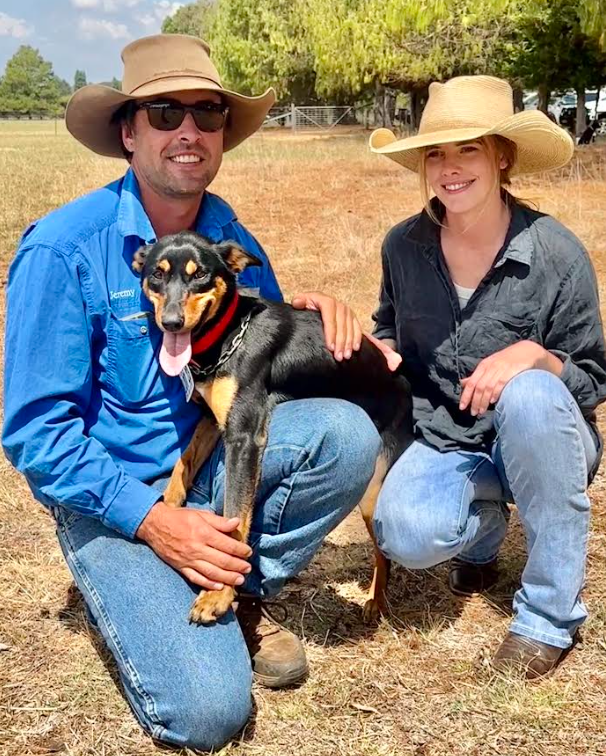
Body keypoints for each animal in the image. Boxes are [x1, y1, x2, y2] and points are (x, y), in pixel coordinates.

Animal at [134, 233, 416, 624]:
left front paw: (218, 596)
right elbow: (183, 463)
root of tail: (403, 381)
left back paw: (377, 599)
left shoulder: (244, 439)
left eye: (200, 274)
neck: (230, 334)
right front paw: (170, 507)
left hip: (375, 493)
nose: (171, 323)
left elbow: (235, 518)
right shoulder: (212, 420)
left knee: (383, 551)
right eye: (156, 275)